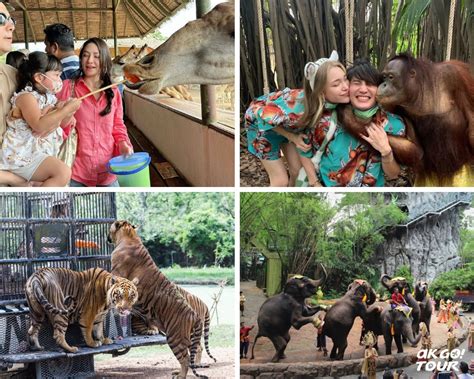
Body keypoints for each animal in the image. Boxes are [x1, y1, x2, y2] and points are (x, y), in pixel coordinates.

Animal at [110, 221, 210, 378]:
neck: (130, 236)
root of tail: (194, 315)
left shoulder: (117, 271)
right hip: (188, 337)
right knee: (193, 352)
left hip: (175, 338)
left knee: (185, 359)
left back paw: (180, 375)